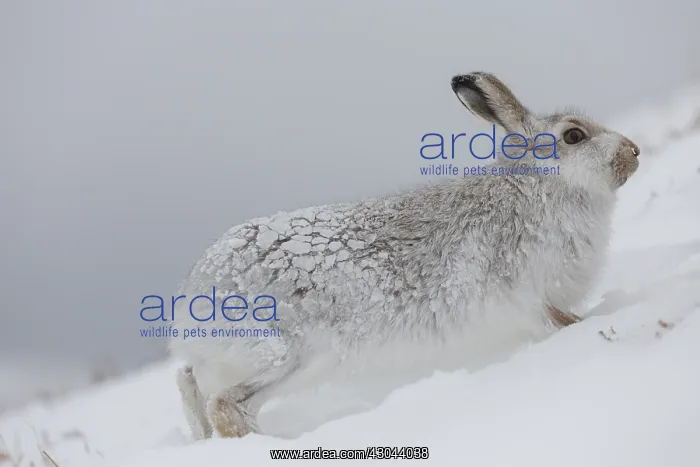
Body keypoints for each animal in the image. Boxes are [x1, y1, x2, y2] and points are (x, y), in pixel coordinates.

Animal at [169, 71, 641, 439]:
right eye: (574, 136)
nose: (634, 152)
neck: (539, 188)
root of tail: (193, 297)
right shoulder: (526, 297)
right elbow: (560, 321)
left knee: (190, 384)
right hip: (289, 355)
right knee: (227, 405)